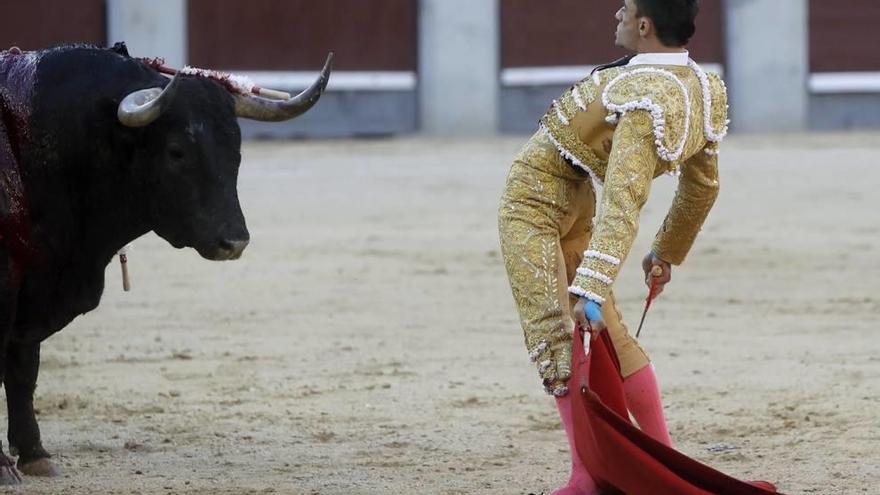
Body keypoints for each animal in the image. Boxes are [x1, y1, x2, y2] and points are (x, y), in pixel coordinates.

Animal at [0, 42, 334, 480]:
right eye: (177, 151)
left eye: (236, 151)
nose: (234, 242)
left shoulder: (38, 282)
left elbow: (24, 367)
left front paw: (35, 453)